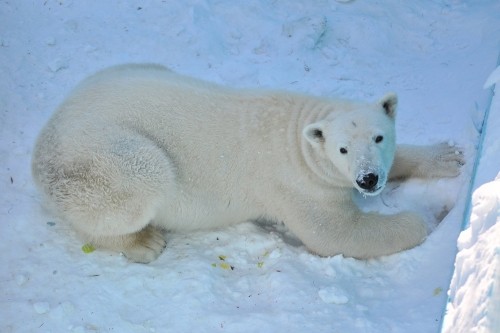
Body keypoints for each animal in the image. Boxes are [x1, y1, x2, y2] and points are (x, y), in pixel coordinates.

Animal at [31, 64, 462, 262]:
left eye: (378, 138)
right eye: (342, 149)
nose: (369, 179)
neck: (300, 136)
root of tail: (44, 138)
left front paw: (450, 155)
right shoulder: (296, 184)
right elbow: (336, 234)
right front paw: (425, 218)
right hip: (100, 157)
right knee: (140, 180)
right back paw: (144, 242)